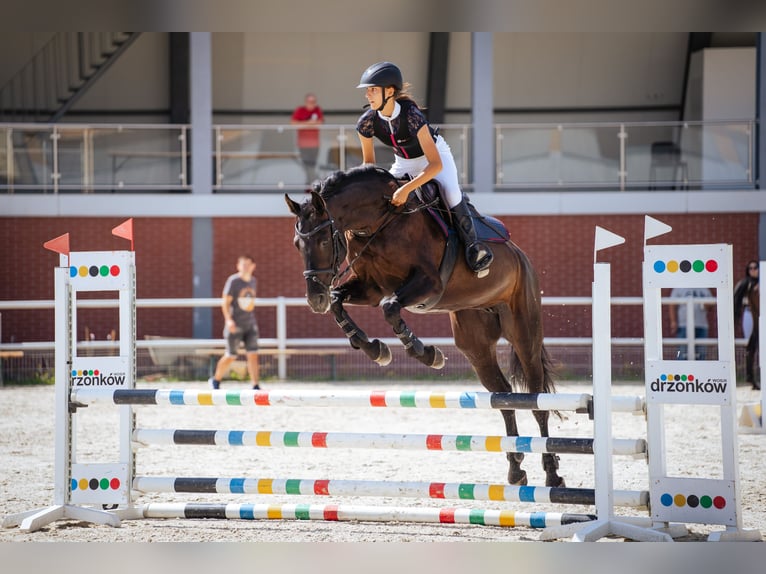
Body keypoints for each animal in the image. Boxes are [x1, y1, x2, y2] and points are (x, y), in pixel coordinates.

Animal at [284, 164, 568, 488]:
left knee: (537, 399)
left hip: (524, 333)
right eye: (297, 245)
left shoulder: (427, 283)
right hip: (476, 346)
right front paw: (373, 348)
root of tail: (521, 256)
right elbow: (338, 301)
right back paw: (516, 469)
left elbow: (390, 307)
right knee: (504, 397)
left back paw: (552, 473)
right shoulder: (370, 288)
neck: (379, 222)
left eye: (322, 241)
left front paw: (425, 353)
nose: (313, 299)